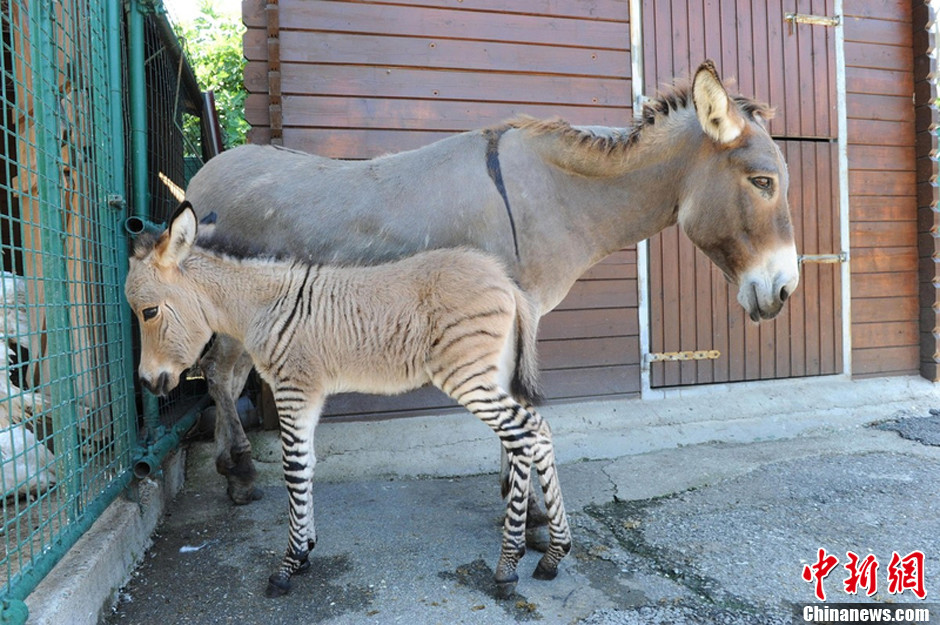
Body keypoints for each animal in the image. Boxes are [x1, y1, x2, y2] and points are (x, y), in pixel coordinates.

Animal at [126, 202, 571, 598]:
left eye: (149, 313)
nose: (147, 383)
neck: (262, 308)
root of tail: (506, 280)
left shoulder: (293, 389)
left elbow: (293, 470)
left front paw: (288, 565)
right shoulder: (308, 394)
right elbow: (306, 466)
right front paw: (305, 551)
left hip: (467, 375)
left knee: (525, 432)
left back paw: (509, 566)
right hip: (493, 373)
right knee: (534, 433)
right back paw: (552, 556)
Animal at [183, 60, 799, 545]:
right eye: (763, 182)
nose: (786, 291)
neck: (557, 197)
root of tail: (202, 174)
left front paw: (518, 504)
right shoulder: (514, 308)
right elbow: (517, 402)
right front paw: (530, 516)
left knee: (225, 376)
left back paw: (236, 471)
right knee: (219, 374)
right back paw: (238, 471)